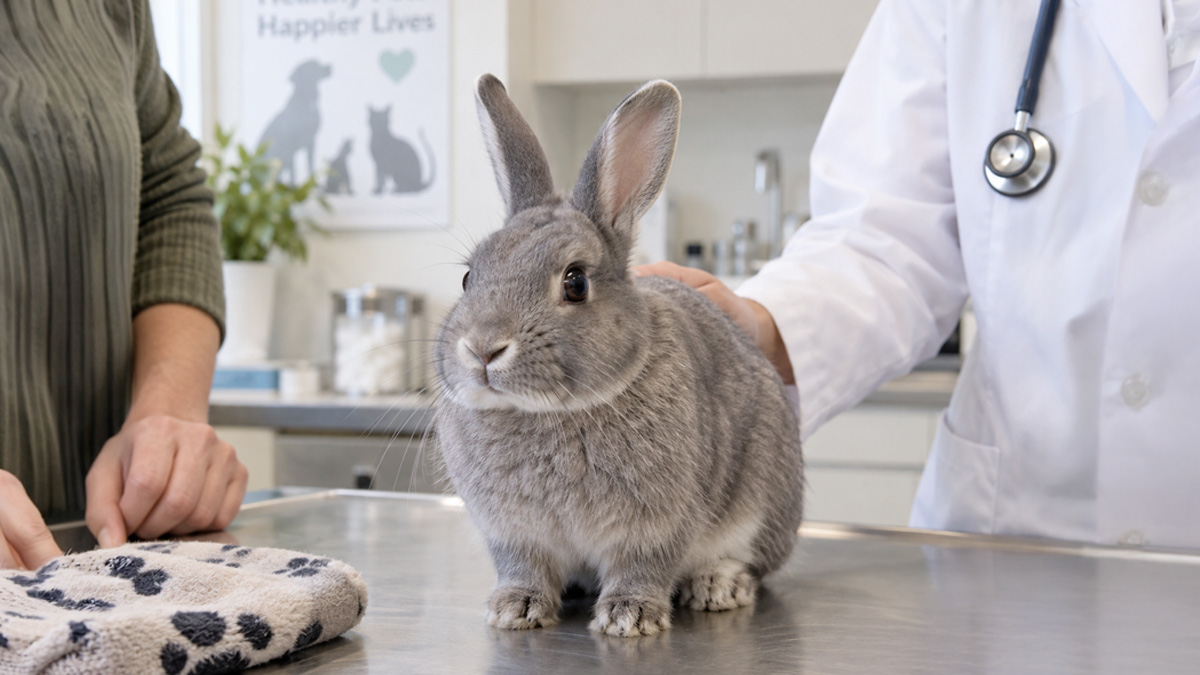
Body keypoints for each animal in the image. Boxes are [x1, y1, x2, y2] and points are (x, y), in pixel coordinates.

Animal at [433, 74, 804, 638]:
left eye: (576, 282)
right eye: (468, 277)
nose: (481, 348)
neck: (551, 411)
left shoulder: (658, 524)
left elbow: (642, 565)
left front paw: (630, 617)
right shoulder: (513, 533)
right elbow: (523, 566)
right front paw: (515, 607)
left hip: (766, 499)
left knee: (753, 562)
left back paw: (717, 585)